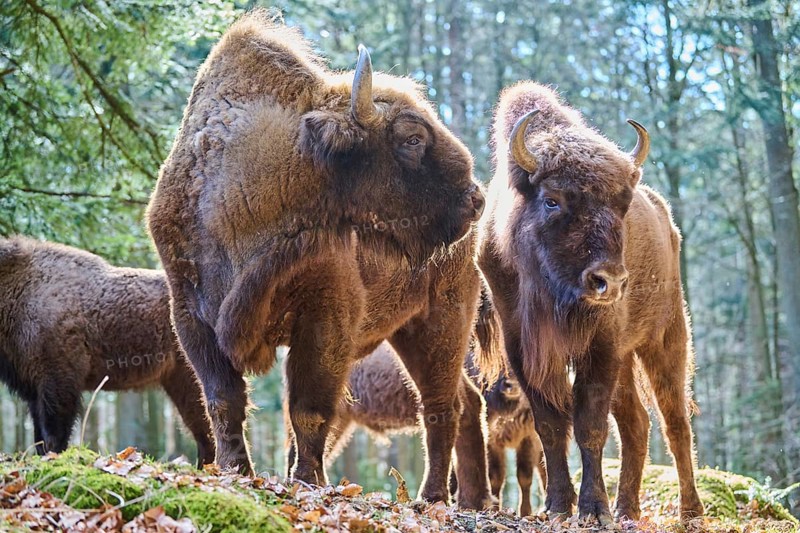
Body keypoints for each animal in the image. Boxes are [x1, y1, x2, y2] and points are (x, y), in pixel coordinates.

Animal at [147, 11, 485, 505]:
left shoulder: (327, 317)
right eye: (412, 138)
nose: (475, 199)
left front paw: (308, 479)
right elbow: (224, 400)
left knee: (441, 405)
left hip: (441, 321)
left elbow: (308, 407)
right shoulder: (191, 315)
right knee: (461, 400)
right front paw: (236, 471)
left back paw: (434, 496)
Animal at [477, 82, 703, 523]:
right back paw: (628, 508)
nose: (609, 281)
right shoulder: (523, 349)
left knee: (675, 423)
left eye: (621, 204)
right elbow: (551, 427)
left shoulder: (601, 347)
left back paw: (691, 511)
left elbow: (590, 425)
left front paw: (594, 509)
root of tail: (668, 222)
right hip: (629, 359)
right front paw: (557, 506)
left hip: (665, 340)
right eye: (552, 200)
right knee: (636, 423)